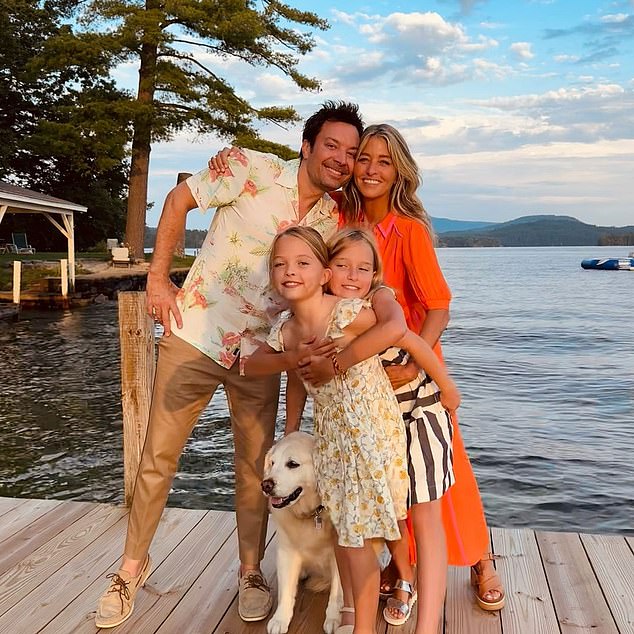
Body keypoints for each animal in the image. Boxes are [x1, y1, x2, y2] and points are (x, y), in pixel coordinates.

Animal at [260, 430, 344, 632]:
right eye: (272, 463)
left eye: (292, 464)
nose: (266, 485)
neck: (313, 513)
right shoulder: (286, 551)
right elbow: (285, 591)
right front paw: (280, 619)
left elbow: (337, 591)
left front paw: (333, 618)